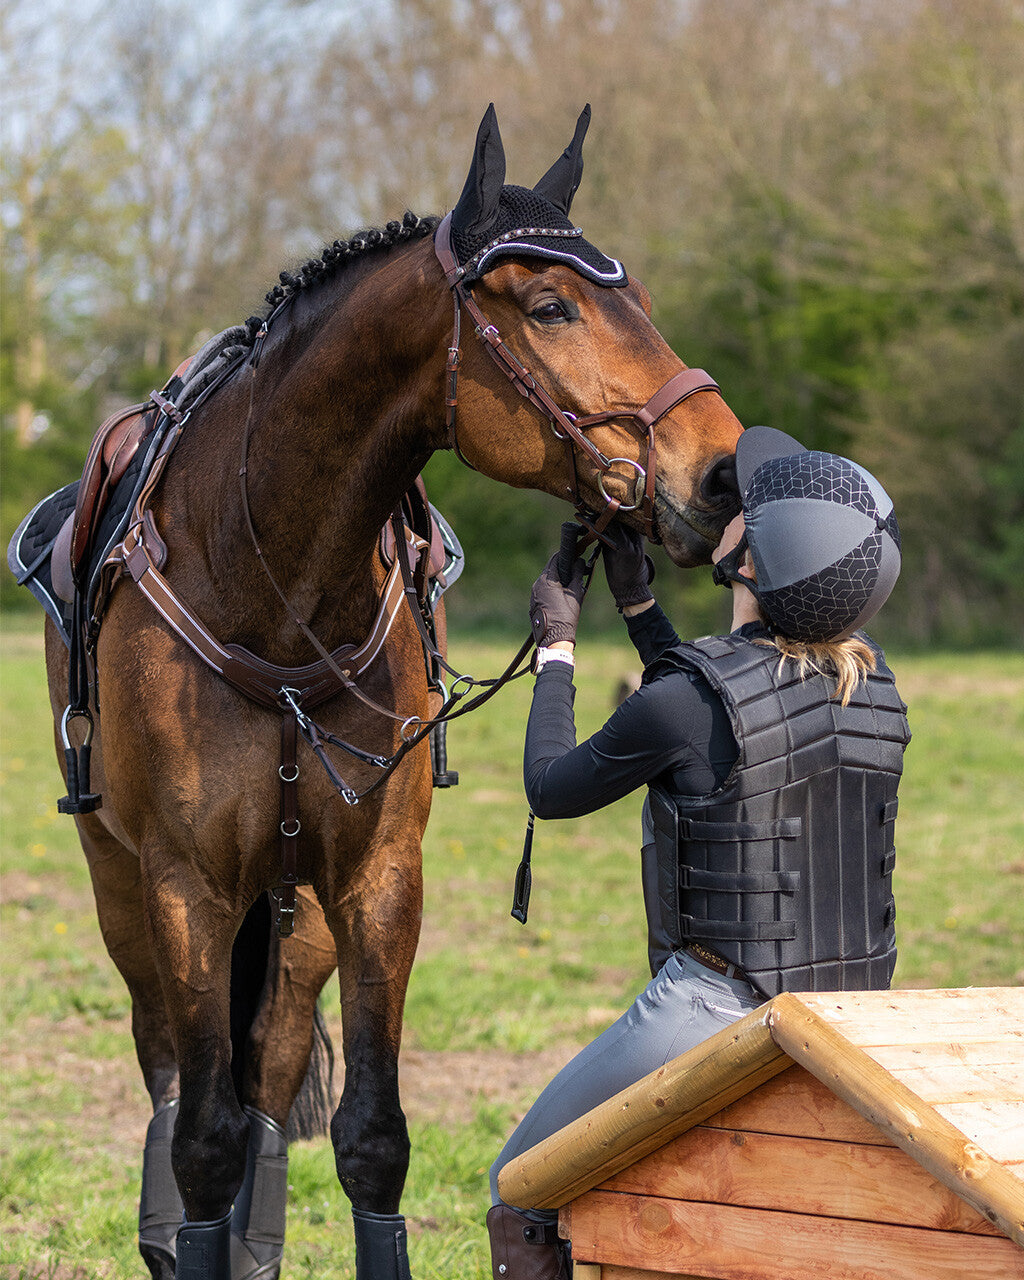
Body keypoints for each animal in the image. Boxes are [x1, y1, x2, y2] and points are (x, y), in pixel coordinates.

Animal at [41, 110, 742, 1280]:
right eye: (550, 306)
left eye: (636, 295)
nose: (725, 471)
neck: (272, 587)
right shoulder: (187, 886)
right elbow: (200, 1139)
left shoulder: (376, 881)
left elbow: (369, 1137)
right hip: (123, 885)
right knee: (176, 1075)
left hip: (297, 914)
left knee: (269, 1068)